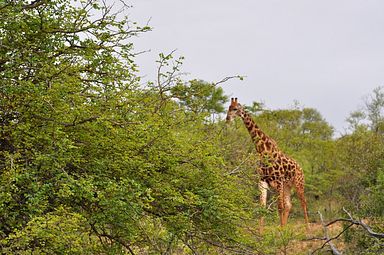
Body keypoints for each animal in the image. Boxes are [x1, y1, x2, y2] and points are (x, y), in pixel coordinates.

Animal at [225, 97, 308, 225]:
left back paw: (307, 228)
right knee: (289, 205)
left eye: (235, 109)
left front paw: (280, 230)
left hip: (298, 183)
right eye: (228, 108)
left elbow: (280, 207)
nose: (228, 118)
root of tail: (300, 168)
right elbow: (262, 208)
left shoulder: (278, 182)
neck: (264, 151)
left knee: (303, 203)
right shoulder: (262, 181)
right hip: (287, 185)